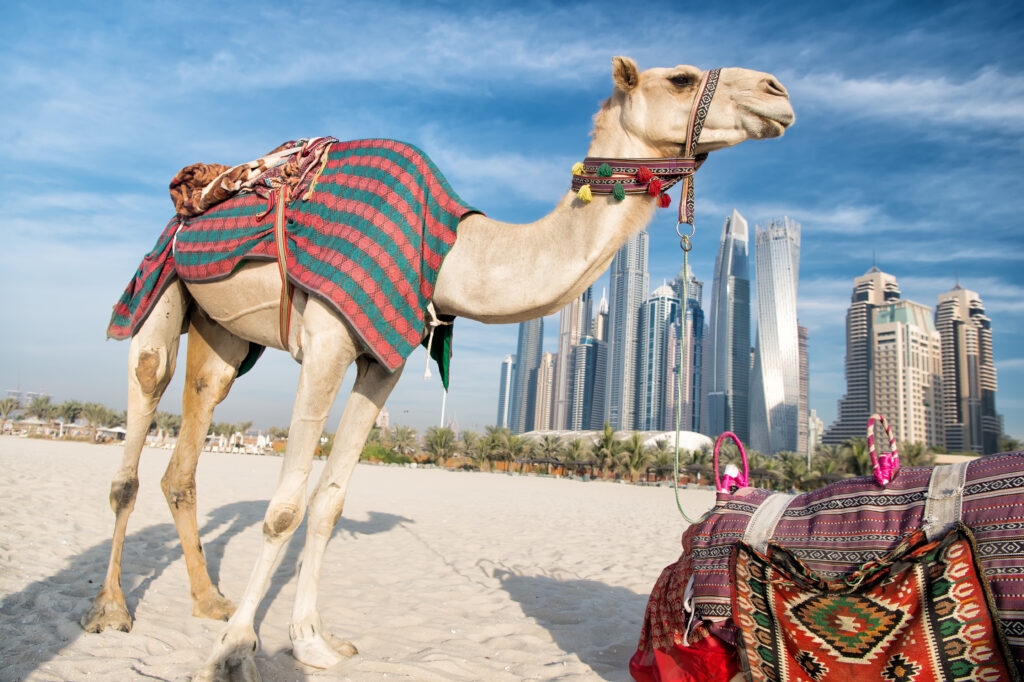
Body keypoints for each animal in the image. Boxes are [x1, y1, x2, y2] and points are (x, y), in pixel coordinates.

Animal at [83, 55, 794, 675]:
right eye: (681, 78)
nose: (778, 91)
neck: (453, 252)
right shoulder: (327, 338)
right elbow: (284, 508)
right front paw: (233, 655)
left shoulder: (381, 360)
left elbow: (329, 503)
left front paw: (313, 643)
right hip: (161, 282)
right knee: (144, 401)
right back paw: (112, 611)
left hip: (224, 335)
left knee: (193, 434)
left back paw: (208, 601)